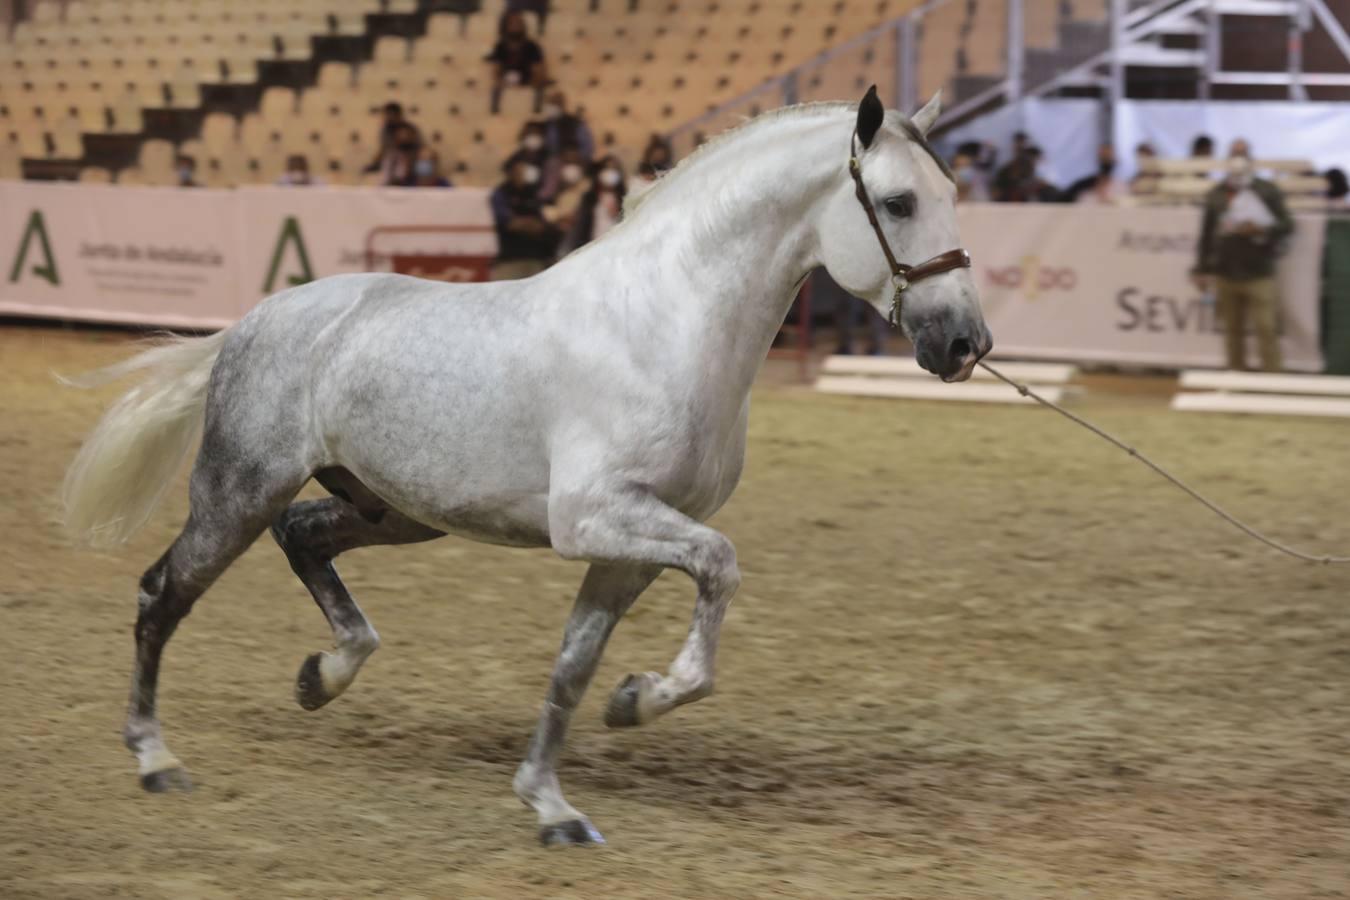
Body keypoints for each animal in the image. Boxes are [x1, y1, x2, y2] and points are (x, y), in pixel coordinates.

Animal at [65, 86, 993, 847]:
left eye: (955, 196)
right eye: (899, 202)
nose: (965, 343)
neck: (665, 322)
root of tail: (253, 322)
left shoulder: (629, 548)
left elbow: (574, 666)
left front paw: (557, 799)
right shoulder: (597, 518)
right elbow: (721, 570)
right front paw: (640, 699)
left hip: (392, 511)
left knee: (303, 540)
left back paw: (322, 676)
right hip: (239, 491)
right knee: (163, 592)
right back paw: (156, 758)